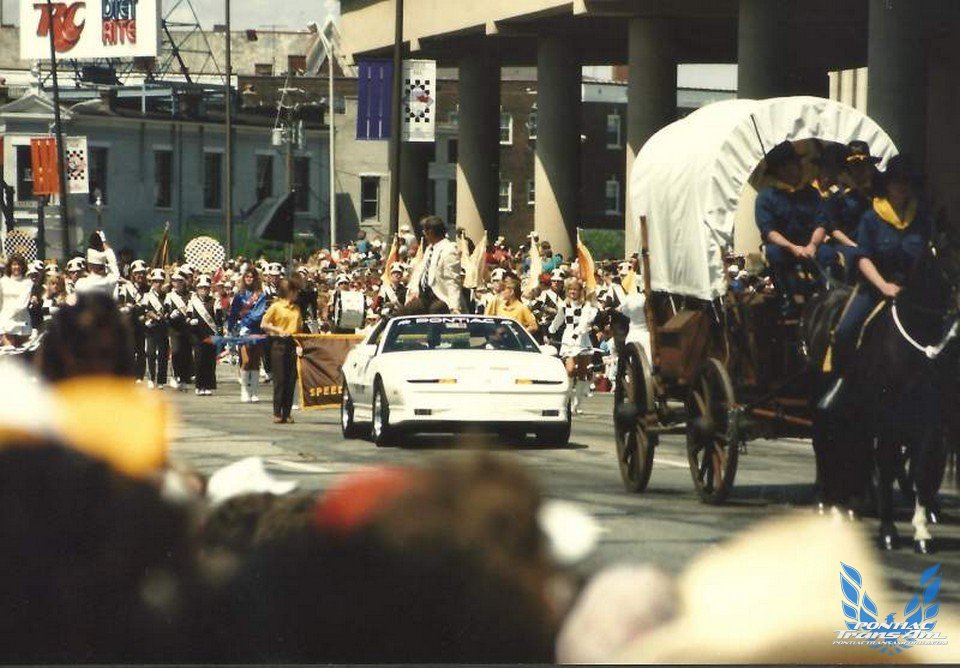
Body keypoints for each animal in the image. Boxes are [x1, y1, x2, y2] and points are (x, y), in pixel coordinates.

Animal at [800, 224, 960, 552]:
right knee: (825, 440)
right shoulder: (887, 418)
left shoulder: (930, 420)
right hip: (820, 398)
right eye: (949, 261)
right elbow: (886, 465)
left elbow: (921, 469)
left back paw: (848, 505)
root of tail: (824, 294)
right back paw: (826, 501)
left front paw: (921, 531)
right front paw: (888, 530)